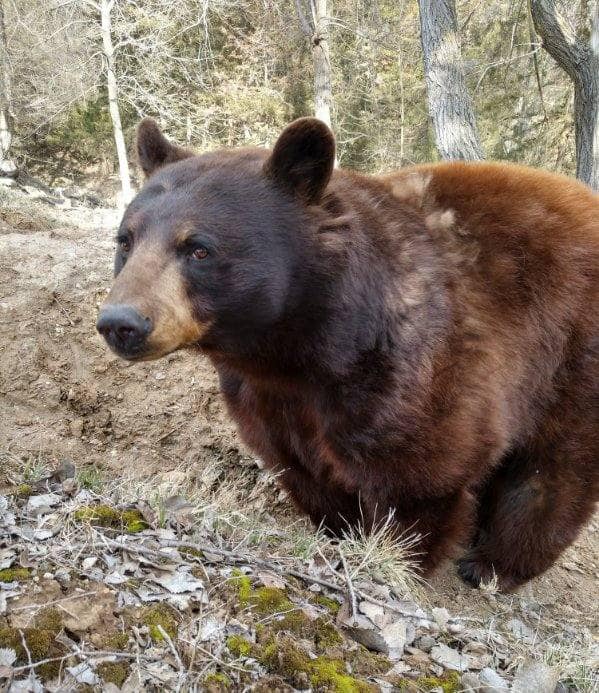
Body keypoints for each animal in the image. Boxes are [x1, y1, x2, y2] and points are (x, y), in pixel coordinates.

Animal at [97, 117, 599, 590]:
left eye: (198, 248)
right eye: (126, 240)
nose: (121, 322)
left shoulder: (414, 364)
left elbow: (420, 472)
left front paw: (395, 559)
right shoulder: (267, 394)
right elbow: (299, 465)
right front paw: (339, 532)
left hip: (568, 355)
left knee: (553, 470)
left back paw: (494, 566)